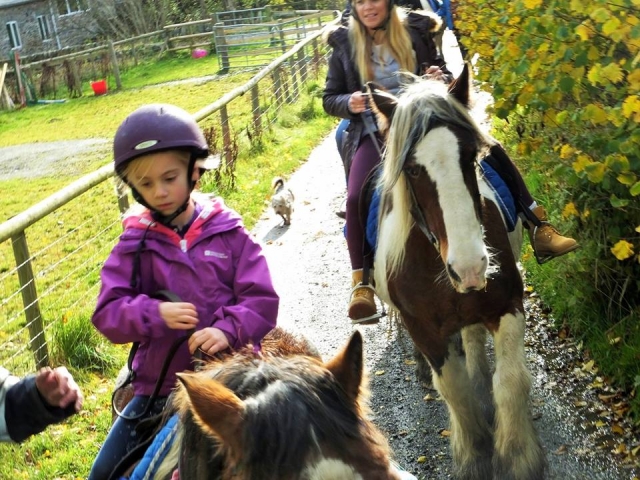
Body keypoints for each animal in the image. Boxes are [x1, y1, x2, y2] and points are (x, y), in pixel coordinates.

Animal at [369, 64, 547, 479]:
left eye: (470, 156)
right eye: (412, 169)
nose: (470, 266)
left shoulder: (507, 305)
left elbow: (510, 381)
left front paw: (518, 457)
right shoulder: (424, 330)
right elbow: (454, 388)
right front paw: (475, 454)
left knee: (474, 340)